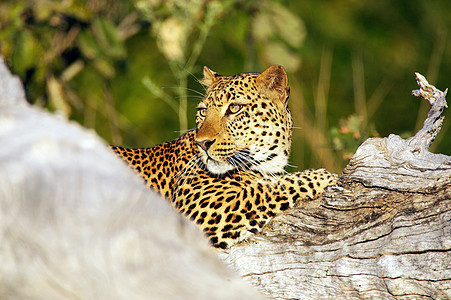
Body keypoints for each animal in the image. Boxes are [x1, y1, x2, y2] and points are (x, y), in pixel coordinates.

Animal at [109, 65, 338, 248]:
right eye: (202, 111)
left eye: (234, 108)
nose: (202, 143)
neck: (269, 163)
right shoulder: (208, 210)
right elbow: (264, 189)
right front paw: (321, 176)